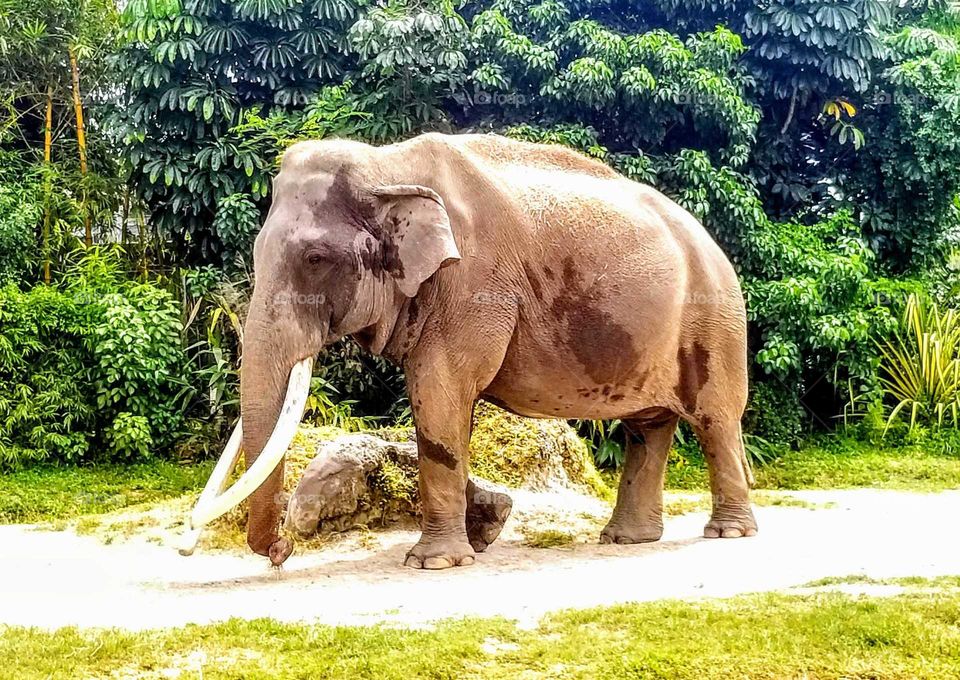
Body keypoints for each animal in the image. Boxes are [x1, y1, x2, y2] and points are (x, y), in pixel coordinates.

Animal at [189, 132, 757, 570]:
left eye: (314, 258)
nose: (282, 551)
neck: (387, 164)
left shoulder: (472, 283)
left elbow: (439, 393)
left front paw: (434, 563)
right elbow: (447, 407)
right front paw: (485, 530)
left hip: (715, 316)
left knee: (714, 418)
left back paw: (729, 534)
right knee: (648, 427)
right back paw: (625, 539)